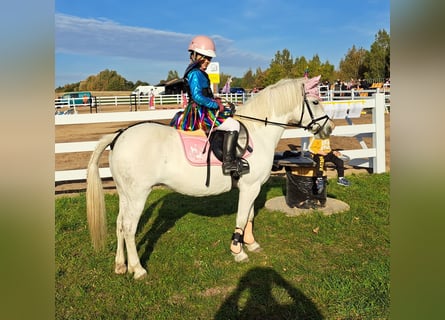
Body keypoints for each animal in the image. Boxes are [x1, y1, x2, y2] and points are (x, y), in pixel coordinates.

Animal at [86, 76, 332, 278]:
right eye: (315, 102)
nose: (329, 128)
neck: (258, 133)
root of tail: (119, 135)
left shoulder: (252, 187)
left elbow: (249, 216)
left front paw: (250, 244)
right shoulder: (250, 187)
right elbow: (241, 218)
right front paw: (238, 251)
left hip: (125, 194)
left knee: (119, 224)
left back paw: (120, 265)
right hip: (138, 195)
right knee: (129, 228)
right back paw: (137, 269)